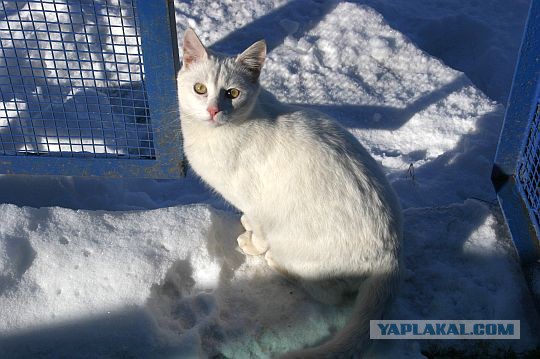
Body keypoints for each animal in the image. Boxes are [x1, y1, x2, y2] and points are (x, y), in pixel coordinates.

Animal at [176, 29, 400, 358]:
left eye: (233, 93)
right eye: (200, 89)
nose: (214, 110)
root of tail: (392, 257)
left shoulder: (258, 203)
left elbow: (258, 229)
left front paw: (252, 243)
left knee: (326, 292)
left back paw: (274, 261)